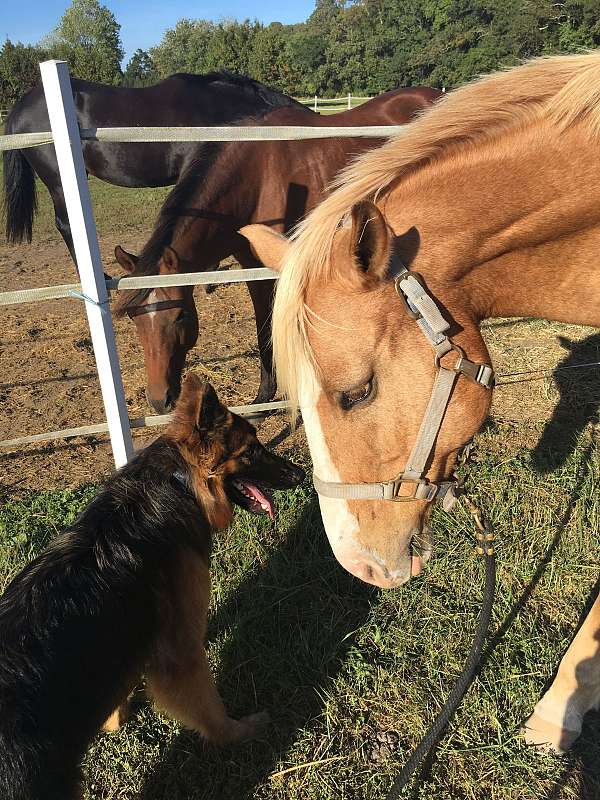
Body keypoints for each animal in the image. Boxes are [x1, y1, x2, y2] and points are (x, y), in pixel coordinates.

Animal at [0, 376, 302, 800]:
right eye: (252, 451)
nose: (300, 475)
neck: (180, 483)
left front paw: (114, 718)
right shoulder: (181, 653)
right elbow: (209, 706)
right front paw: (236, 733)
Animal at [112, 86, 440, 412]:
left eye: (180, 315)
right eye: (133, 317)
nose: (160, 400)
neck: (254, 180)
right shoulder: (250, 266)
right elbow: (262, 328)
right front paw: (266, 395)